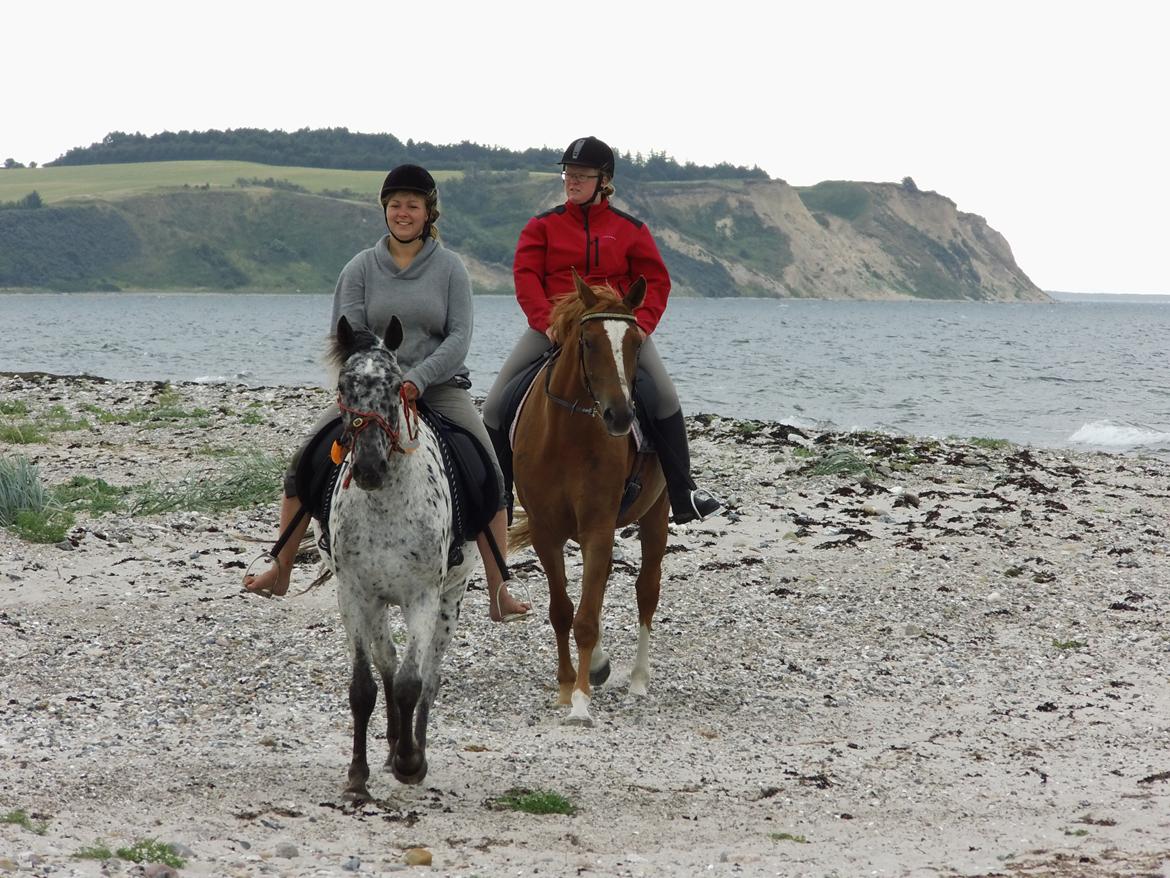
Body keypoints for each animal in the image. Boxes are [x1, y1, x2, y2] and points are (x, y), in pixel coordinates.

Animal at [322, 316, 472, 805]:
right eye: (344, 385)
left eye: (394, 385)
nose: (369, 468)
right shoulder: (354, 595)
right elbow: (364, 687)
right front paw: (358, 775)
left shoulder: (423, 596)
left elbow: (412, 683)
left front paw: (411, 763)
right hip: (378, 603)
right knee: (386, 660)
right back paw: (390, 748)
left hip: (450, 600)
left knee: (430, 675)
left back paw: (412, 749)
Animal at [510, 271, 669, 725]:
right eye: (588, 341)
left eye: (636, 342)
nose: (621, 416)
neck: (567, 435)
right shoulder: (547, 531)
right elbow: (563, 610)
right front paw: (567, 687)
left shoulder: (598, 525)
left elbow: (585, 617)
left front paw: (580, 701)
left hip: (657, 515)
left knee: (646, 590)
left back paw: (638, 679)